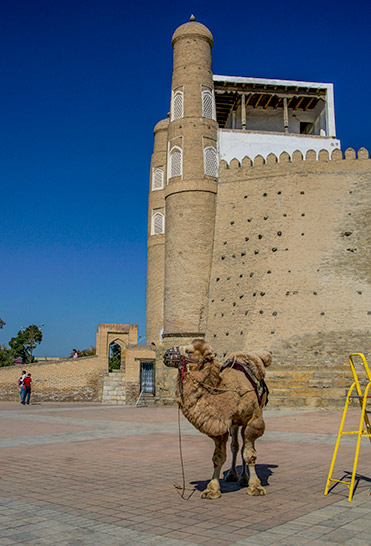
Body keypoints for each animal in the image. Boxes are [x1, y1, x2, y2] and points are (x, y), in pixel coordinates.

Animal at [164, 338, 272, 500]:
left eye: (189, 351)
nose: (166, 354)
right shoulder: (219, 424)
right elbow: (218, 458)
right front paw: (212, 489)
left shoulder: (253, 420)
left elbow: (249, 455)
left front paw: (255, 486)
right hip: (234, 424)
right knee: (235, 446)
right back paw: (234, 475)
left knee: (243, 448)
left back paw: (244, 478)